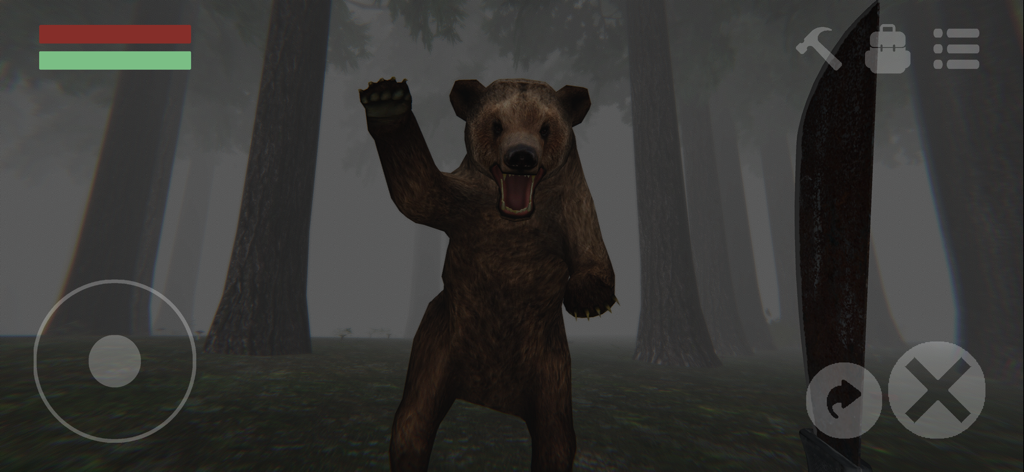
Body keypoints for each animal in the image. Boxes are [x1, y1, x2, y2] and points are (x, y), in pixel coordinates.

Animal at [359, 77, 616, 472]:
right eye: (496, 125)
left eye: (546, 127)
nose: (521, 156)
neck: (514, 216)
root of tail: (488, 396)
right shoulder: (464, 204)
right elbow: (418, 194)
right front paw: (386, 97)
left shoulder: (573, 210)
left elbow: (592, 251)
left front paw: (590, 300)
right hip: (438, 350)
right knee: (412, 422)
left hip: (549, 372)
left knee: (556, 439)